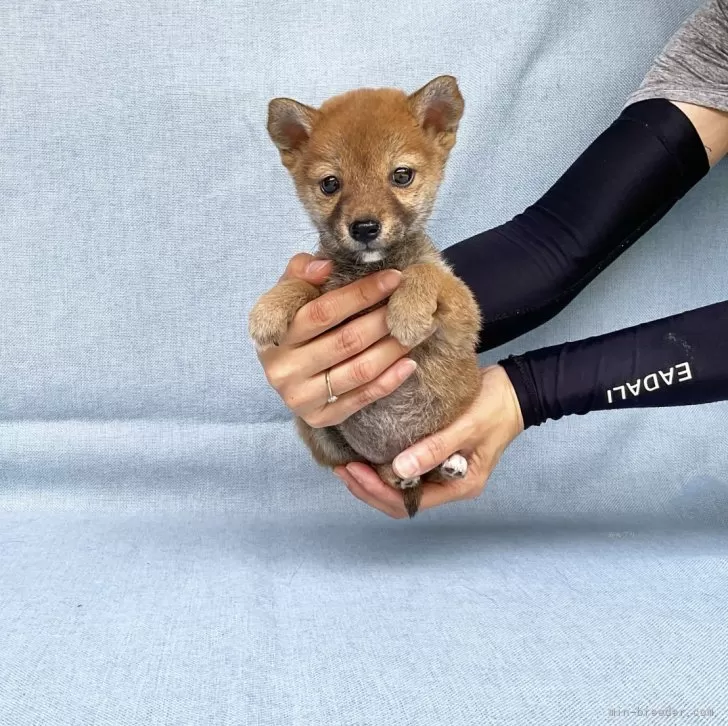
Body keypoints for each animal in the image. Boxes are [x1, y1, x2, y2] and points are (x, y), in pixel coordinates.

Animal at [247, 77, 480, 516]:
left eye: (401, 176)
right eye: (330, 184)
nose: (365, 228)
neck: (371, 268)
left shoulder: (463, 317)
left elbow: (425, 273)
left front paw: (407, 311)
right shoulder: (324, 280)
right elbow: (306, 283)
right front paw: (270, 307)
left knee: (434, 469)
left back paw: (451, 462)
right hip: (318, 431)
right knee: (383, 468)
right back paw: (400, 474)